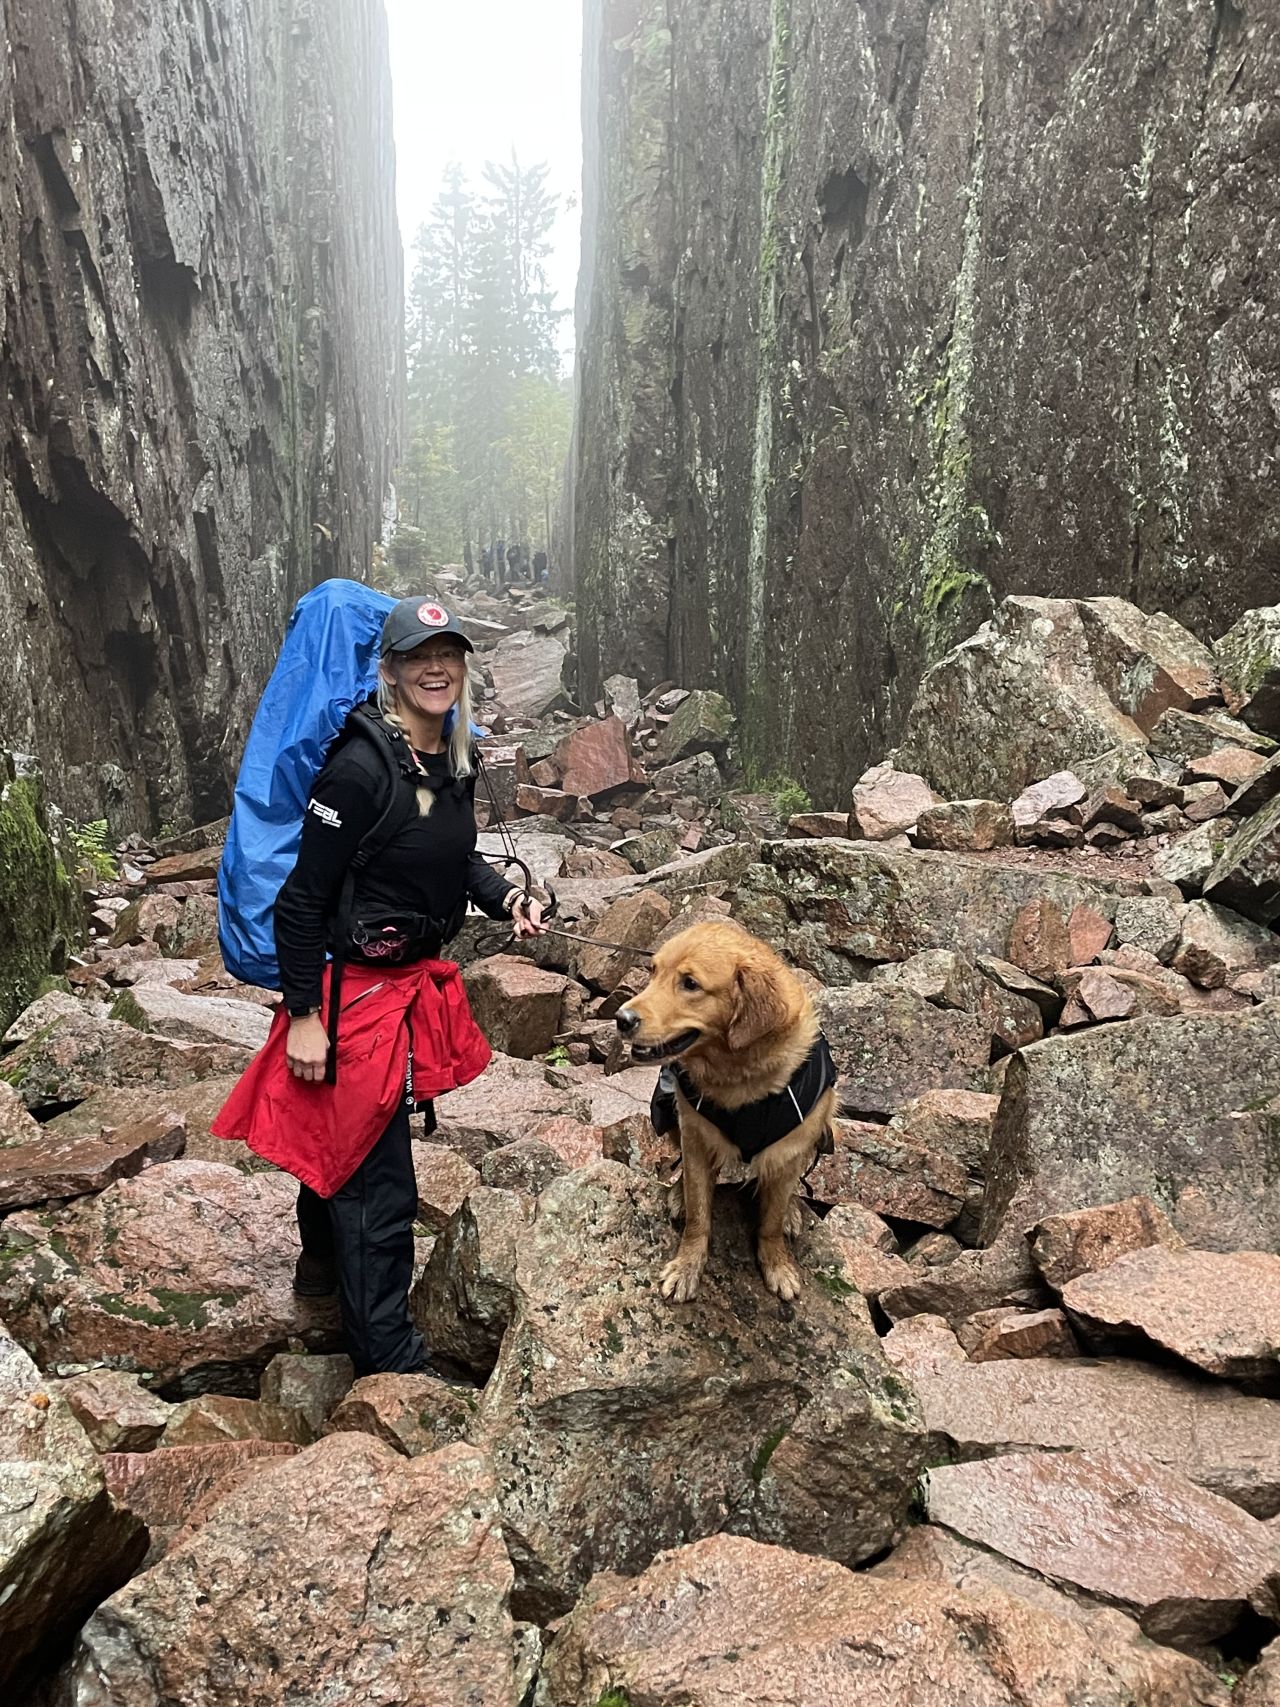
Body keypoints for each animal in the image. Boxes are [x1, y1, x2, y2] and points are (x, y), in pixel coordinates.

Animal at [617, 928, 836, 1297]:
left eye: (690, 983)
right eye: (652, 970)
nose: (622, 1019)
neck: (740, 1078)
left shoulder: (791, 1147)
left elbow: (770, 1222)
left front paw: (777, 1264)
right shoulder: (697, 1139)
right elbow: (698, 1215)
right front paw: (687, 1267)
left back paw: (792, 1209)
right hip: (669, 1110)